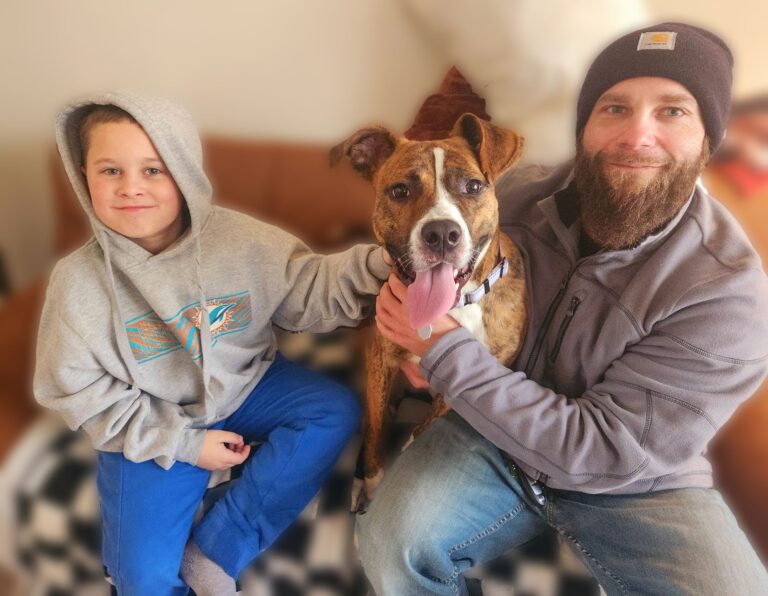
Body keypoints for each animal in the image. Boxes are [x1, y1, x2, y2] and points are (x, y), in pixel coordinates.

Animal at [330, 112, 528, 508]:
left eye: (472, 186)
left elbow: (423, 429)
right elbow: (374, 429)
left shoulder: (467, 389)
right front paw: (370, 481)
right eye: (400, 191)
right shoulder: (380, 360)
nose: (441, 234)